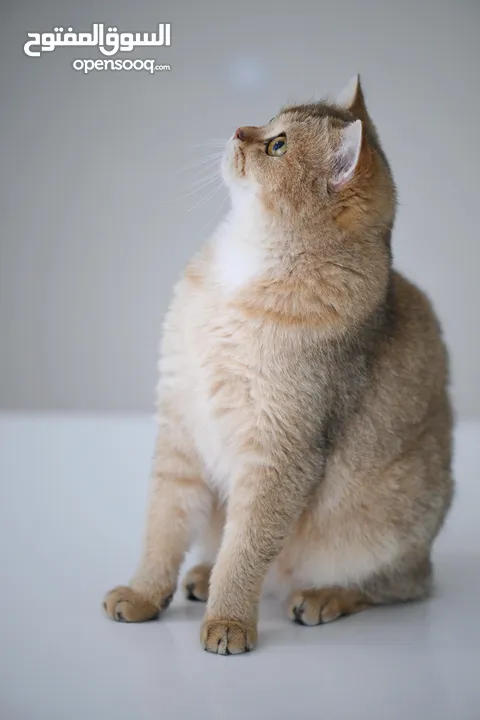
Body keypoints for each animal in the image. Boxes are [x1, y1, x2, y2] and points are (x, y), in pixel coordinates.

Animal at [104, 77, 454, 652]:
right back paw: (200, 574)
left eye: (278, 146)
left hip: (388, 529)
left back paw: (321, 596)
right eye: (269, 123)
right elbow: (163, 526)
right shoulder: (181, 422)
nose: (239, 130)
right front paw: (144, 593)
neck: (245, 266)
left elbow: (246, 548)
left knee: (396, 585)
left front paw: (229, 621)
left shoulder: (280, 447)